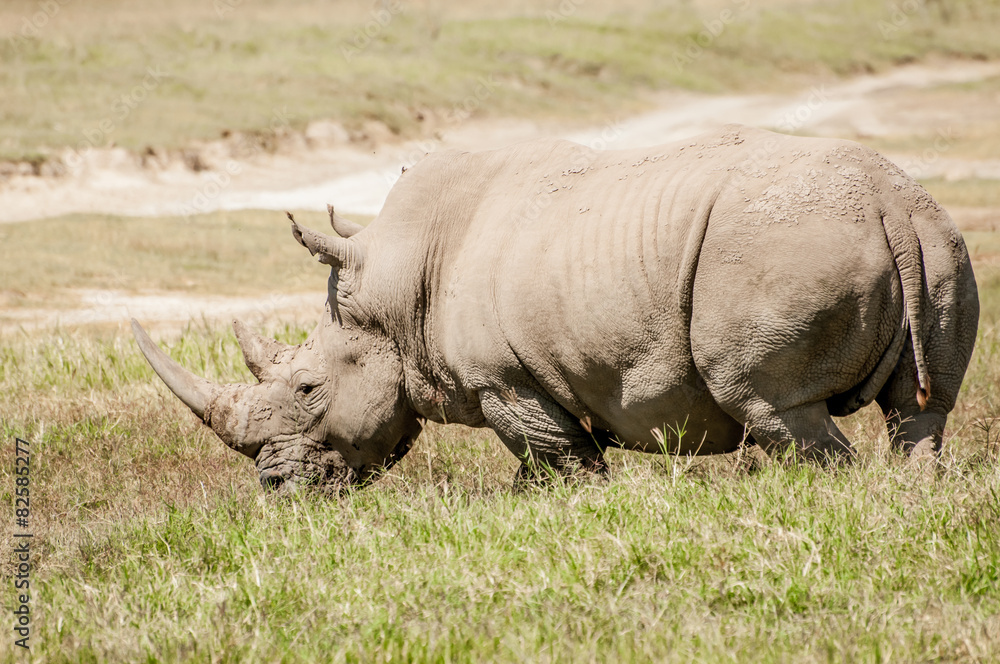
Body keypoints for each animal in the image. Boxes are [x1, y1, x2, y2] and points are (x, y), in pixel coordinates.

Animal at [133, 125, 979, 493]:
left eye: (308, 388)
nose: (276, 488)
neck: (395, 290)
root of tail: (889, 203)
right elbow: (543, 461)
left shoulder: (503, 380)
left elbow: (554, 453)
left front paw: (579, 503)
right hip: (939, 238)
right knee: (919, 411)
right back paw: (913, 495)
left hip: (784, 251)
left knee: (770, 403)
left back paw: (822, 497)